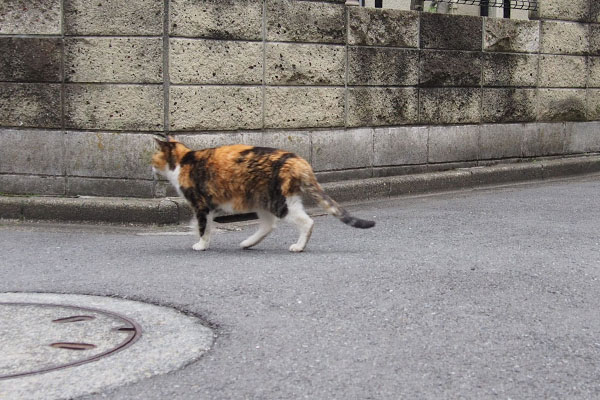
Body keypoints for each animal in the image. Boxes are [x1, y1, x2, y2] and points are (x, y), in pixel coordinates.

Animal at [151, 136, 376, 252]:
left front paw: (200, 245)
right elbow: (206, 226)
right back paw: (248, 243)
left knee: (307, 222)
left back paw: (299, 246)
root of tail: (297, 160)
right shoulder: (211, 207)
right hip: (264, 199)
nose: (150, 167)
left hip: (278, 202)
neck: (183, 161)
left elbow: (203, 228)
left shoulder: (201, 206)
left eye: (153, 157)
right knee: (269, 225)